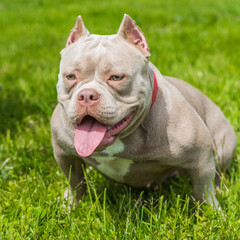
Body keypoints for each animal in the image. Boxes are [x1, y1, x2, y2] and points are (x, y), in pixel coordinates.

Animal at [51, 14, 236, 207]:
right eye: (70, 76)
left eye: (116, 77)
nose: (87, 95)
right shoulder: (64, 154)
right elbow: (76, 182)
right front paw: (71, 205)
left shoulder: (201, 157)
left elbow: (203, 190)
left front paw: (212, 211)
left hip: (223, 148)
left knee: (218, 173)